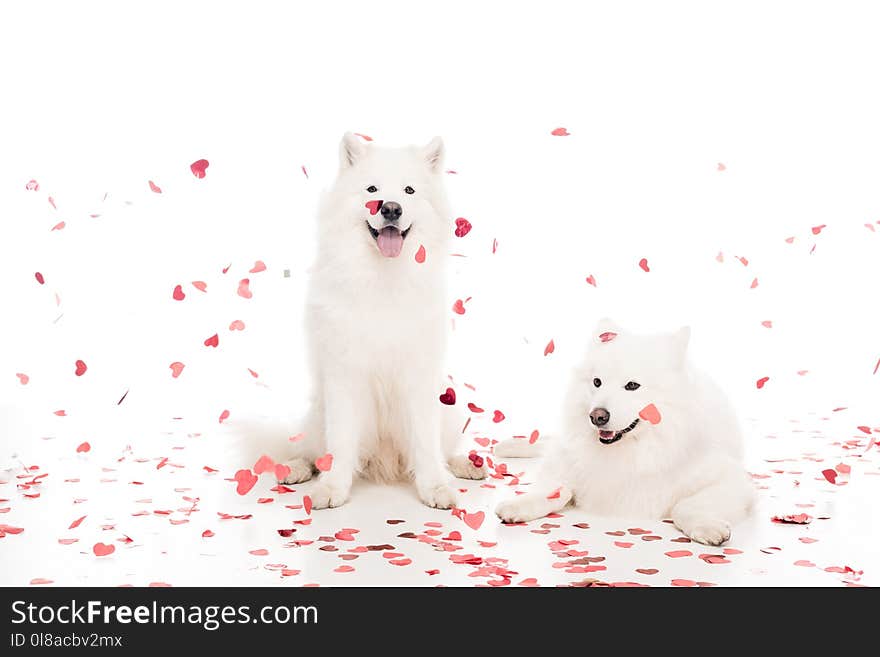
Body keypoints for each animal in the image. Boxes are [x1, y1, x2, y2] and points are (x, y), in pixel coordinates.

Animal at [276, 136, 484, 510]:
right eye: (371, 189)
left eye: (409, 190)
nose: (390, 208)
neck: (384, 276)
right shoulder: (344, 376)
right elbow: (341, 443)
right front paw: (333, 489)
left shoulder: (419, 377)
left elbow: (426, 444)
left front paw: (435, 487)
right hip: (317, 411)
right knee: (311, 452)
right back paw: (294, 468)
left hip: (449, 407)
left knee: (443, 450)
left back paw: (465, 466)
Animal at [498, 320, 752, 544]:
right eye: (597, 382)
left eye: (632, 386)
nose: (596, 416)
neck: (635, 448)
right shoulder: (571, 464)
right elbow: (556, 488)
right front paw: (519, 505)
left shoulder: (731, 479)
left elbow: (684, 506)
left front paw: (707, 527)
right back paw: (508, 445)